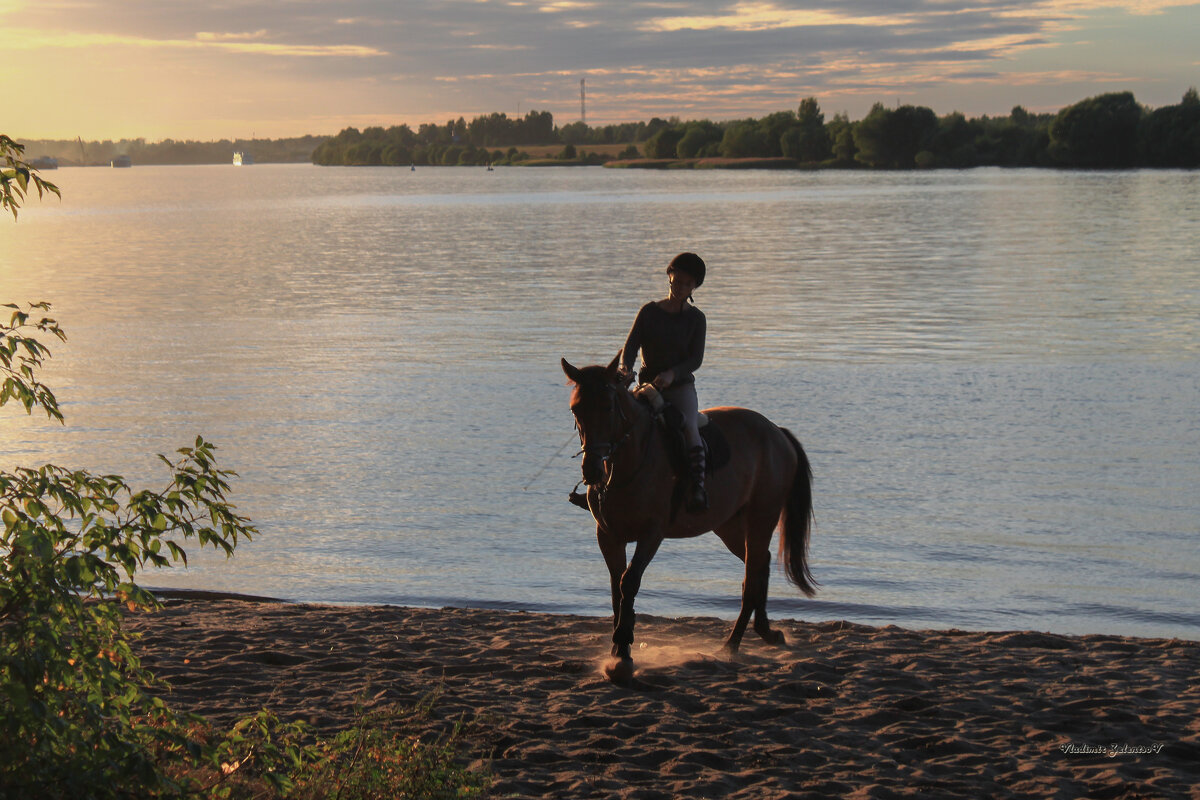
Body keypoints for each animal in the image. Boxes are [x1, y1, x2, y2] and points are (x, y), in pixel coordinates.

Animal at [561, 352, 816, 686]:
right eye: (576, 408)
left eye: (607, 407)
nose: (591, 470)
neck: (628, 461)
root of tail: (776, 432)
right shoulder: (608, 536)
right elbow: (617, 587)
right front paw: (617, 651)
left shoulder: (651, 534)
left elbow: (630, 582)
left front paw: (624, 656)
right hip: (729, 526)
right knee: (759, 563)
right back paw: (766, 632)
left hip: (763, 517)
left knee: (753, 572)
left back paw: (731, 645)